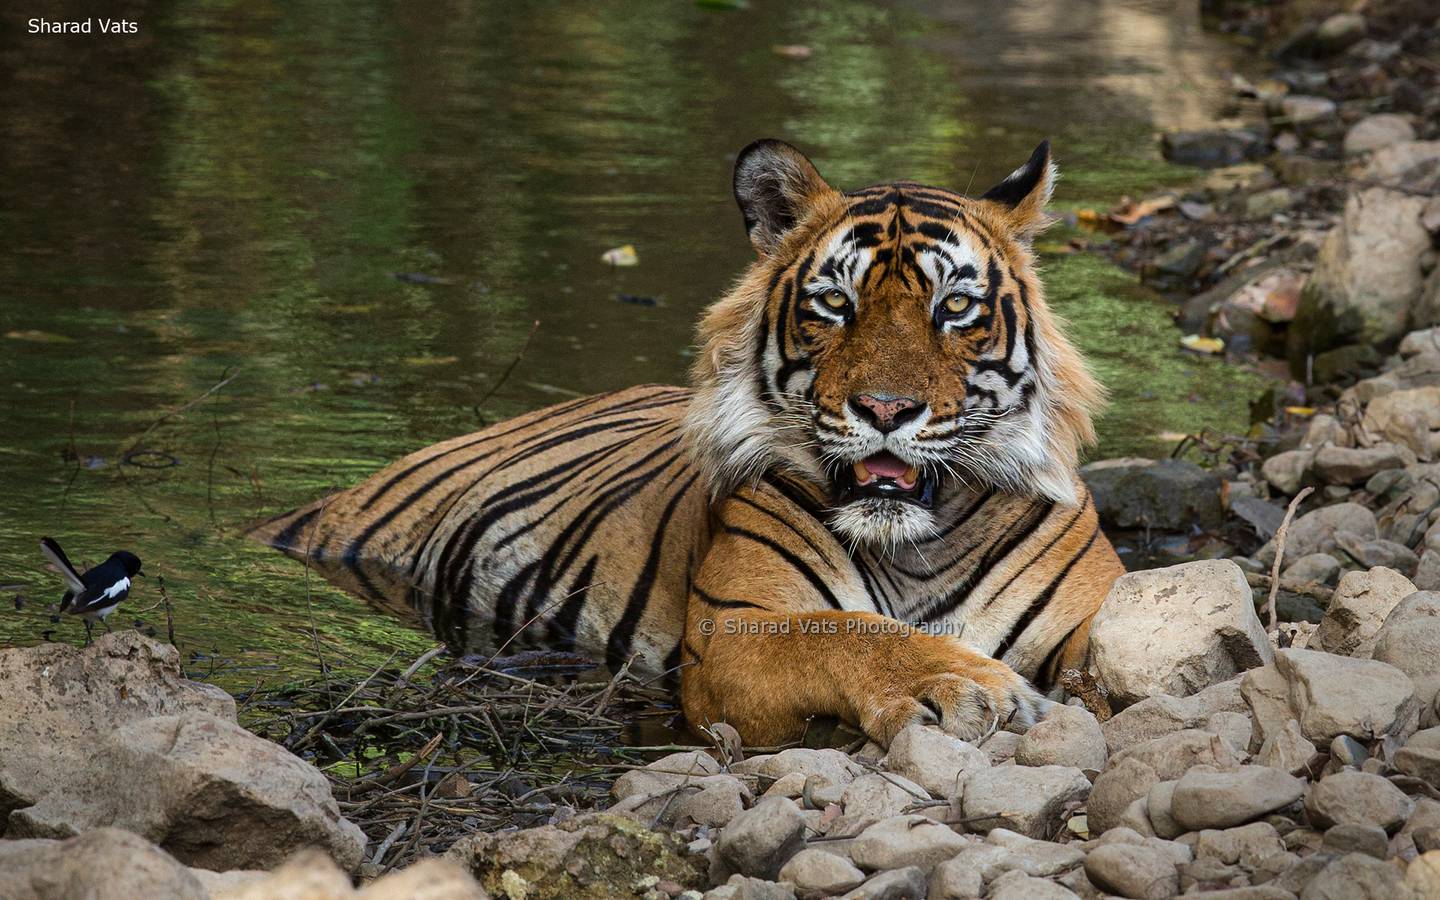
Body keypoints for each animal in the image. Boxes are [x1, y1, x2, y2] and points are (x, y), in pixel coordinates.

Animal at [250, 138, 1125, 747]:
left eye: (954, 308)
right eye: (835, 303)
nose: (886, 408)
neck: (917, 546)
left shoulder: (1091, 612)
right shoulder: (735, 632)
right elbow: (847, 635)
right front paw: (964, 684)